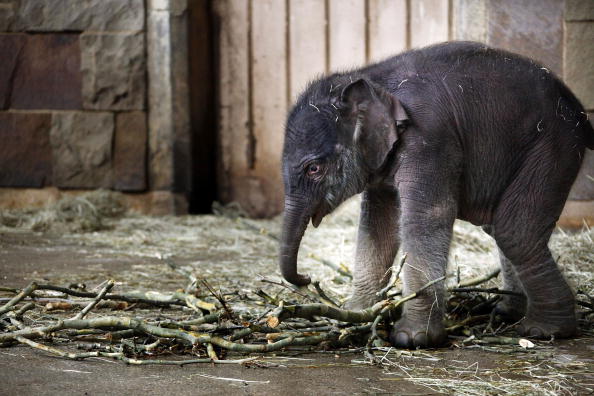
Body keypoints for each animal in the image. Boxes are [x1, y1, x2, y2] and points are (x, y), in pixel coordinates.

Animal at [278, 41, 592, 348]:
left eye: (314, 169)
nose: (306, 277)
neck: (371, 78)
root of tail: (576, 106)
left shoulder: (430, 139)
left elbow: (425, 218)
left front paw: (412, 339)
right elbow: (378, 226)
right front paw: (354, 314)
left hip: (552, 147)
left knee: (515, 230)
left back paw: (546, 330)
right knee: (500, 227)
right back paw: (509, 312)